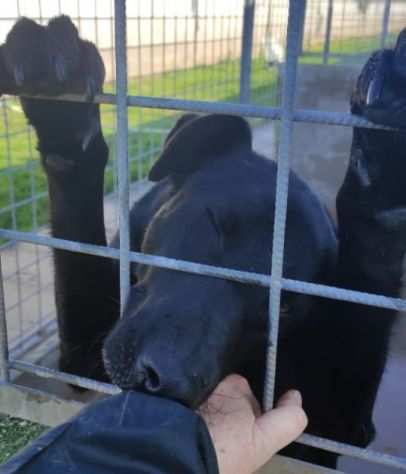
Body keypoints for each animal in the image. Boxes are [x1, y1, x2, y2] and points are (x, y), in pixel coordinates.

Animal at [1, 14, 404, 470]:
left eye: (283, 306)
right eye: (213, 225)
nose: (162, 380)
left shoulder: (331, 427)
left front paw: (387, 170)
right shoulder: (83, 356)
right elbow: (77, 241)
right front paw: (62, 113)